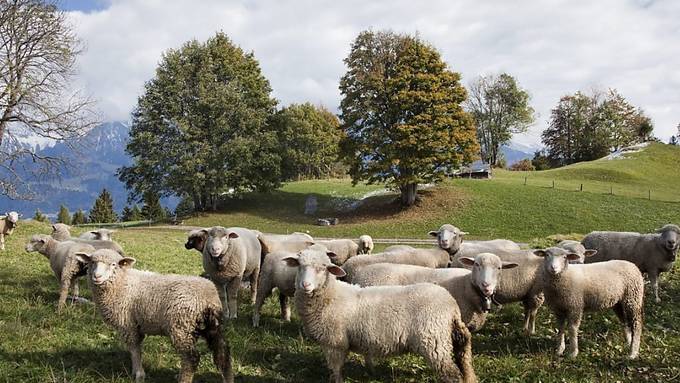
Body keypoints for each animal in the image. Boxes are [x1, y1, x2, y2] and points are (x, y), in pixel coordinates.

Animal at [75, 249, 234, 383]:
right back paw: (228, 379)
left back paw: (183, 379)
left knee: (191, 358)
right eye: (92, 263)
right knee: (223, 353)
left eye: (113, 264)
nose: (97, 276)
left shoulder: (127, 324)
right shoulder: (136, 325)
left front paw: (139, 374)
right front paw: (136, 371)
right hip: (212, 326)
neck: (123, 282)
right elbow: (137, 348)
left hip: (181, 327)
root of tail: (208, 297)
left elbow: (134, 348)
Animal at [282, 249, 478, 383]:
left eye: (323, 268)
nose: (305, 285)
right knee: (464, 361)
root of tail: (451, 305)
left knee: (452, 374)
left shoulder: (334, 342)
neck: (331, 296)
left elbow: (336, 370)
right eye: (299, 265)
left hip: (434, 342)